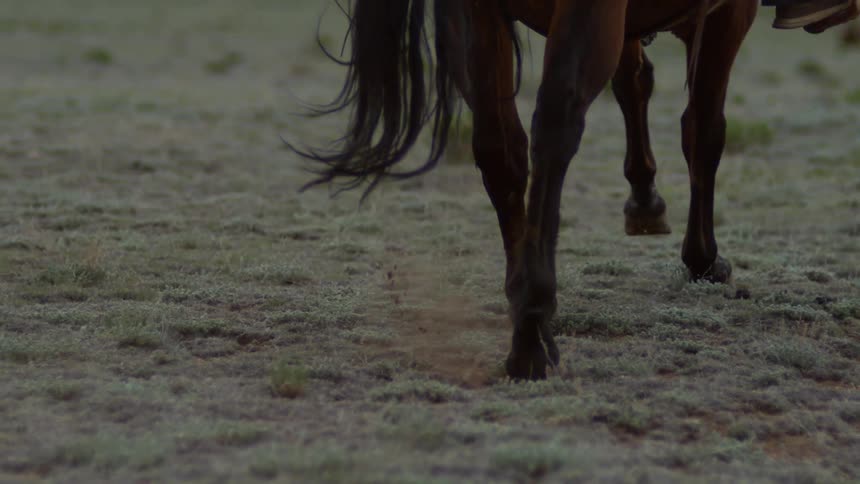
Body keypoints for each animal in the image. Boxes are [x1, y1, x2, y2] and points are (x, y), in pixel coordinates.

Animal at [293, 0, 758, 380]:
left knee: (499, 146)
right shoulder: (729, 12)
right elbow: (703, 129)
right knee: (555, 124)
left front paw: (645, 202)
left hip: (479, 19)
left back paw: (522, 311)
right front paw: (703, 258)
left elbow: (634, 82)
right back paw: (533, 326)